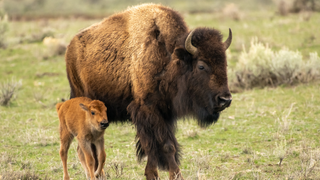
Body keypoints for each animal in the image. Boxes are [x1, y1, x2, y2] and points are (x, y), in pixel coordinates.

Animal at [65, 3, 232, 180]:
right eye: (201, 66)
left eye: (225, 63)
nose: (225, 99)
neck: (169, 58)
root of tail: (70, 48)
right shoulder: (147, 110)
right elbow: (162, 145)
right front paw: (170, 174)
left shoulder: (163, 113)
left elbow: (158, 145)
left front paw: (156, 173)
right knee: (85, 147)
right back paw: (98, 174)